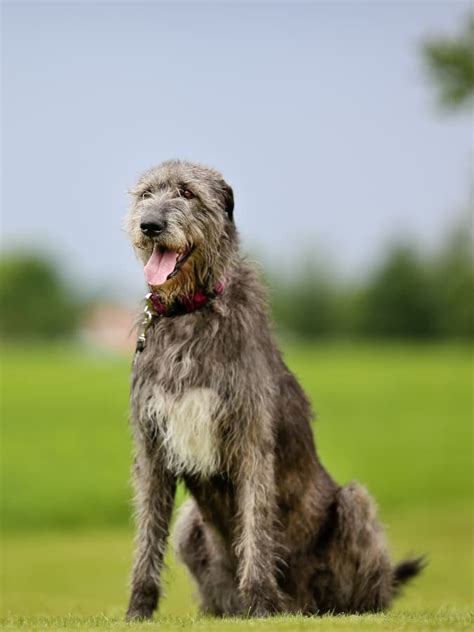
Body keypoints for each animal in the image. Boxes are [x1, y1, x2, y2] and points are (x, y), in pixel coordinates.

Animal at [125, 160, 422, 620]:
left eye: (187, 193)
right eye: (145, 195)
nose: (150, 225)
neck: (190, 312)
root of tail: (303, 604)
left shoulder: (250, 439)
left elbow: (256, 525)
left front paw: (261, 603)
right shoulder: (152, 444)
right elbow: (147, 534)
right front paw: (137, 611)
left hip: (354, 505)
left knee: (366, 581)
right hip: (190, 525)